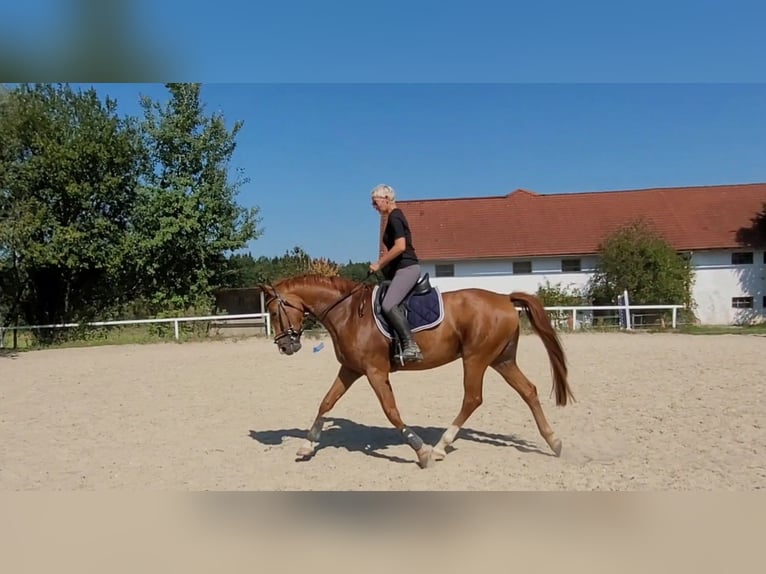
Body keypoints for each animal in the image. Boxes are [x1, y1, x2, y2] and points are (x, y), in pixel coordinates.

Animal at [260, 274, 572, 468]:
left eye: (274, 313)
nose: (285, 346)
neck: (347, 312)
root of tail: (505, 298)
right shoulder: (350, 369)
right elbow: (326, 401)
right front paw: (307, 446)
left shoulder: (375, 371)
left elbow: (391, 410)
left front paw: (421, 450)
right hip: (502, 360)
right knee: (528, 390)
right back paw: (555, 442)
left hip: (476, 358)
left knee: (472, 398)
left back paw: (440, 447)